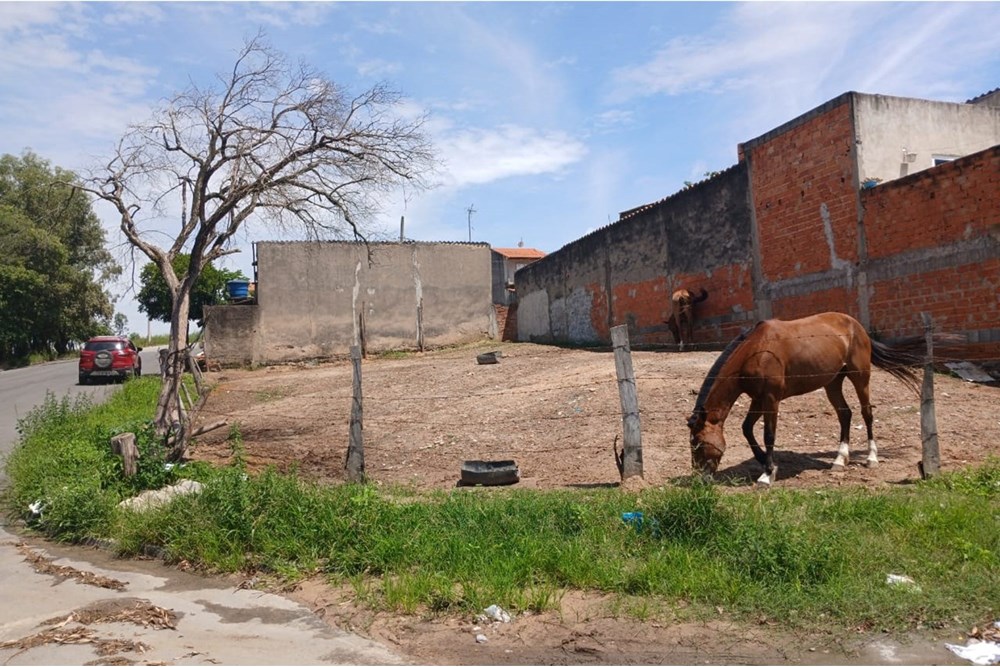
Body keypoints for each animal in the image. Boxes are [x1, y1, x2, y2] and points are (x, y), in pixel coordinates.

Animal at [688, 314, 928, 486]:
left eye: (698, 442)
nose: (701, 478)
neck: (757, 350)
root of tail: (855, 325)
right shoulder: (758, 399)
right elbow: (747, 428)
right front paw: (767, 463)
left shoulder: (771, 399)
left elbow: (768, 435)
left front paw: (767, 474)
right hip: (832, 383)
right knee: (845, 414)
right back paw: (840, 460)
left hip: (860, 377)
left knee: (866, 413)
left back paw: (872, 459)